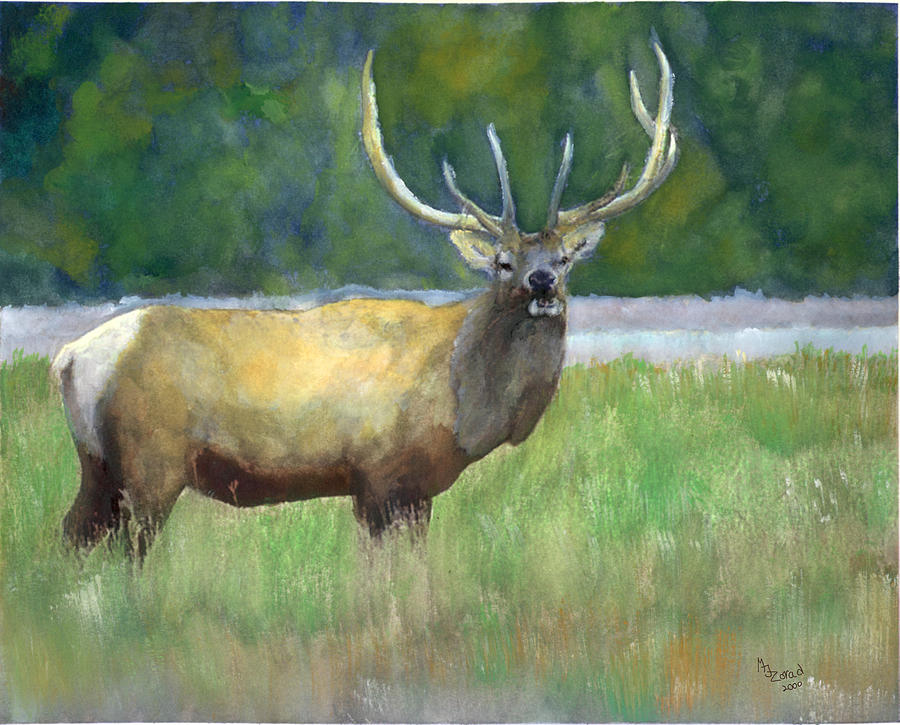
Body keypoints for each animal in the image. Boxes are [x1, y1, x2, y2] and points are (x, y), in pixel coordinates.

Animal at [51, 43, 677, 558]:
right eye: (503, 262)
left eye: (566, 259)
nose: (542, 283)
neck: (461, 406)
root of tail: (70, 358)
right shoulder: (378, 475)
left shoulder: (416, 491)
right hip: (149, 462)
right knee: (124, 549)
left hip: (98, 466)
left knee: (71, 536)